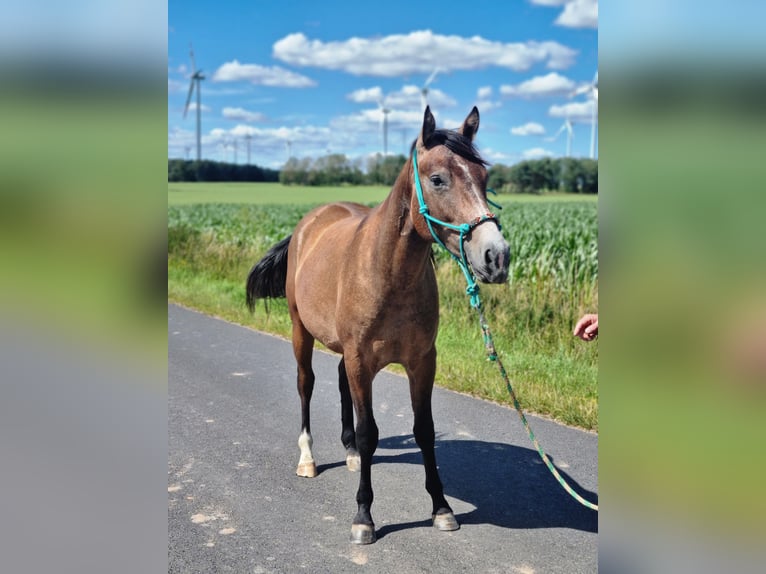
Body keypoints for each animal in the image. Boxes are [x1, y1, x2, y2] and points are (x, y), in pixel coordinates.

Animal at [246, 107, 510, 544]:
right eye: (438, 179)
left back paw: (350, 453)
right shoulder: (361, 360)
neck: (388, 273)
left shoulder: (422, 362)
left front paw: (441, 508)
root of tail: (310, 221)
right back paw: (308, 458)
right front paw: (363, 516)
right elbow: (370, 431)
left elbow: (425, 430)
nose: (496, 256)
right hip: (302, 331)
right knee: (306, 384)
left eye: (484, 178)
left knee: (339, 384)